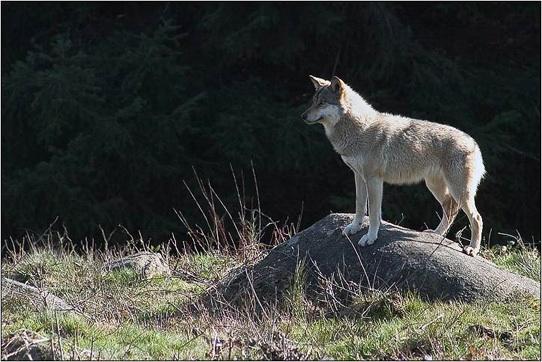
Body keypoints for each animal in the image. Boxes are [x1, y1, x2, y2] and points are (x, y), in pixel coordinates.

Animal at [302, 75, 488, 258]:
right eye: (313, 101)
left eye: (322, 103)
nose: (303, 116)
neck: (360, 128)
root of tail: (474, 143)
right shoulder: (359, 177)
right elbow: (360, 206)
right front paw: (354, 228)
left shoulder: (374, 180)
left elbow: (374, 214)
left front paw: (370, 238)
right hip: (436, 187)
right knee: (450, 209)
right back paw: (435, 234)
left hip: (458, 192)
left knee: (476, 218)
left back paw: (472, 249)